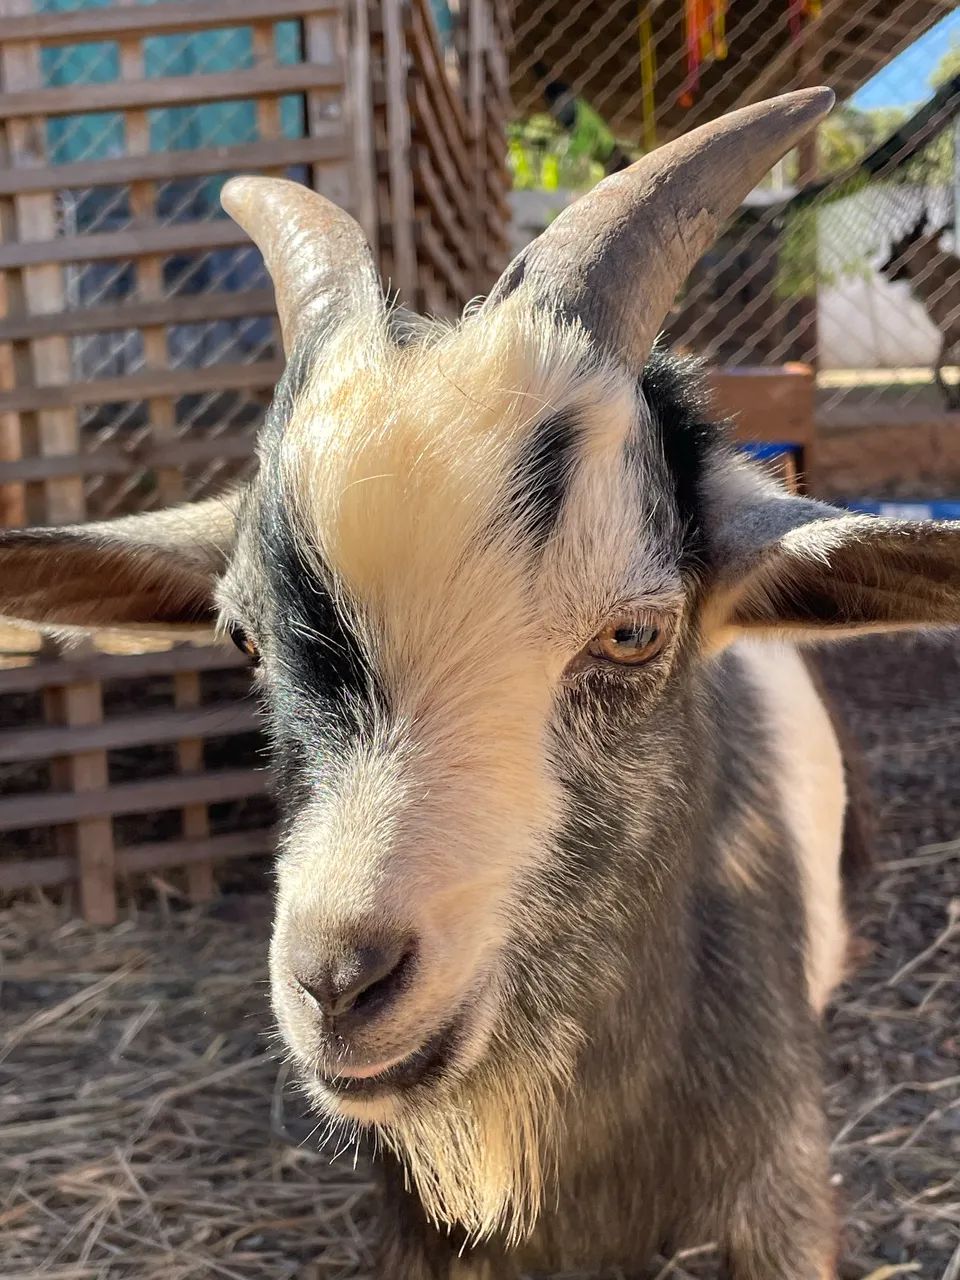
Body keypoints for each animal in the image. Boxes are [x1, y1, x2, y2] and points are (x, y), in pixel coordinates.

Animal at [878, 211, 960, 411]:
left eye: (894, 248)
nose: (880, 269)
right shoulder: (952, 335)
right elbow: (941, 366)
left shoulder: (950, 333)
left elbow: (937, 366)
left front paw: (951, 399)